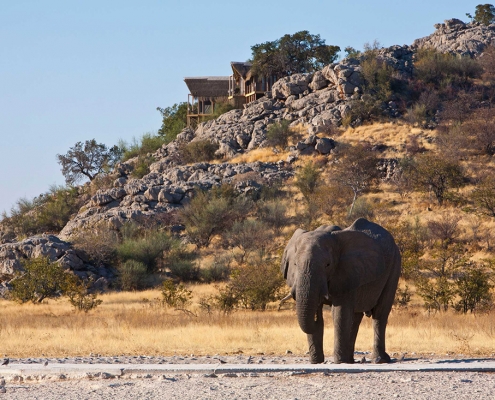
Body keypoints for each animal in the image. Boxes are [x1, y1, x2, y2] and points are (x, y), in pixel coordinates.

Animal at [280, 217, 402, 364]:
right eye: (295, 264)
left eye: (327, 265)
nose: (316, 318)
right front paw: (316, 362)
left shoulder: (347, 272)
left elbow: (340, 313)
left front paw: (339, 362)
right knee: (355, 318)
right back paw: (350, 360)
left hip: (395, 266)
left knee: (380, 313)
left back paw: (379, 360)